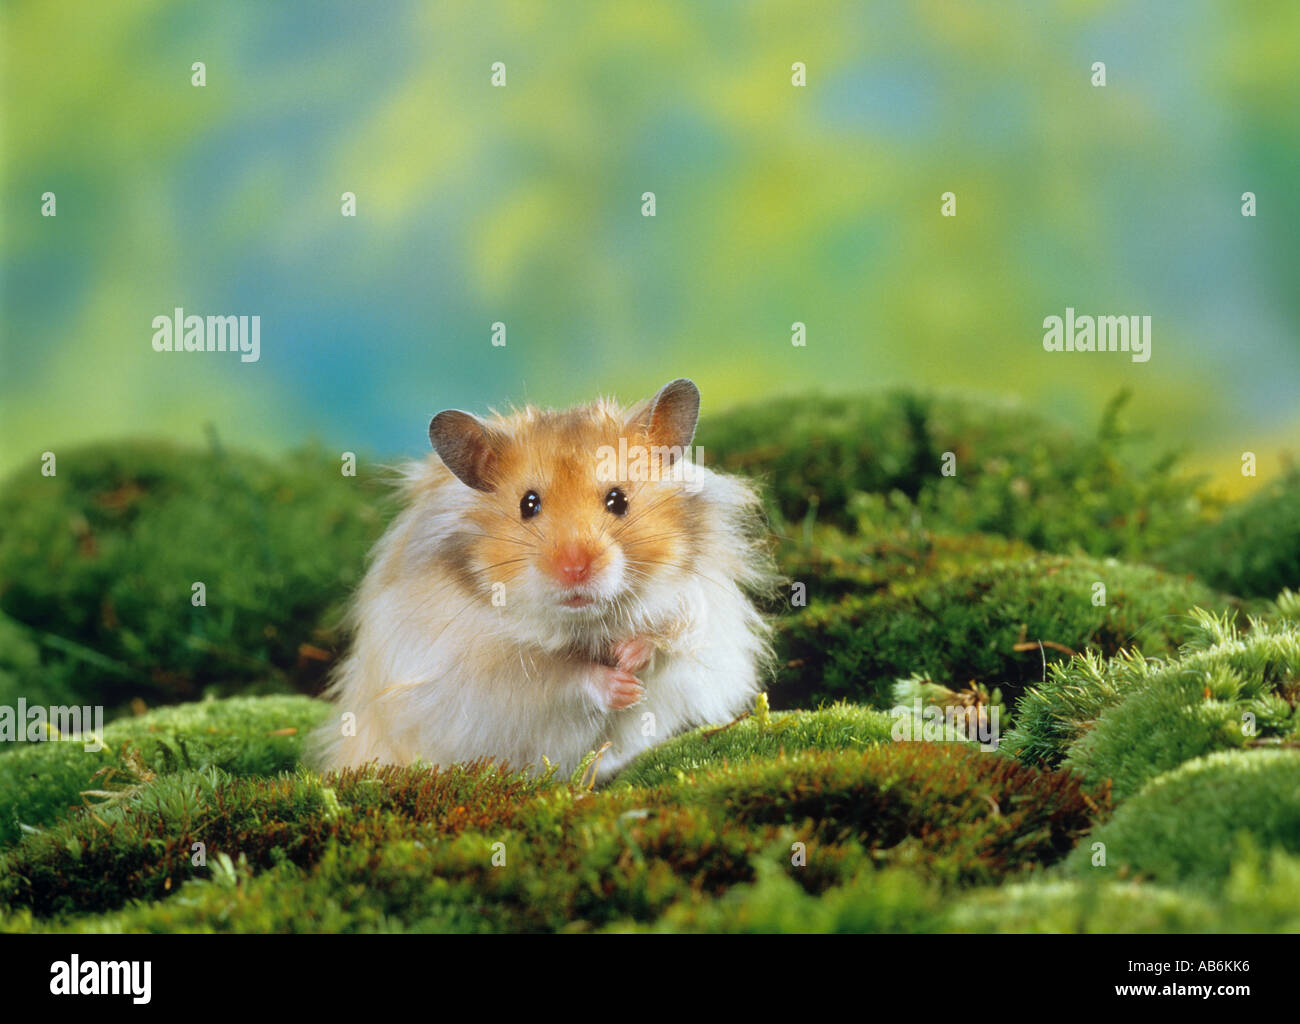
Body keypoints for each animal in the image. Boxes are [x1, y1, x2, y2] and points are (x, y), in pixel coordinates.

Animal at [309, 378, 775, 783]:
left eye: (618, 500)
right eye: (528, 504)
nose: (575, 568)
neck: (583, 622)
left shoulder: (700, 609)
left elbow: (670, 640)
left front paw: (629, 659)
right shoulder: (484, 671)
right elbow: (560, 675)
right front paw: (623, 687)